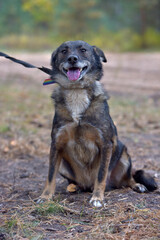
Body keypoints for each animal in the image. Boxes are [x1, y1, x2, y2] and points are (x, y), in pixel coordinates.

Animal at [37, 40, 158, 207]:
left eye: (83, 50)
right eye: (64, 51)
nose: (72, 59)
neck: (76, 91)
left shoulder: (105, 143)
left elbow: (101, 175)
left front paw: (97, 198)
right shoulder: (57, 143)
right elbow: (50, 175)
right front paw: (46, 196)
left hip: (124, 155)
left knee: (128, 178)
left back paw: (137, 185)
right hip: (63, 164)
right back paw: (73, 187)